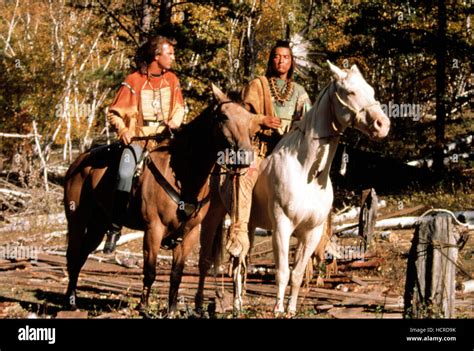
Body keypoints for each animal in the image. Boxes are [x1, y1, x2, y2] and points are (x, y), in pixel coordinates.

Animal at [64, 86, 256, 316]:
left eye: (249, 118)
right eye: (224, 117)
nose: (245, 156)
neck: (184, 175)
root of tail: (77, 163)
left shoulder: (189, 234)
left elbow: (176, 273)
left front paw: (171, 310)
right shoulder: (153, 229)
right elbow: (150, 271)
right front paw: (144, 308)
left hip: (97, 226)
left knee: (81, 255)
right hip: (77, 220)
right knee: (73, 256)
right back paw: (70, 301)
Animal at [194, 60, 390, 316]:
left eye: (371, 91)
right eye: (350, 92)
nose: (383, 125)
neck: (307, 172)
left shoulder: (311, 233)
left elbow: (296, 274)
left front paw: (291, 309)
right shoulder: (282, 226)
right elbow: (282, 272)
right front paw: (278, 309)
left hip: (252, 224)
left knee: (244, 260)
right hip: (228, 217)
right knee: (235, 260)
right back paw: (236, 305)